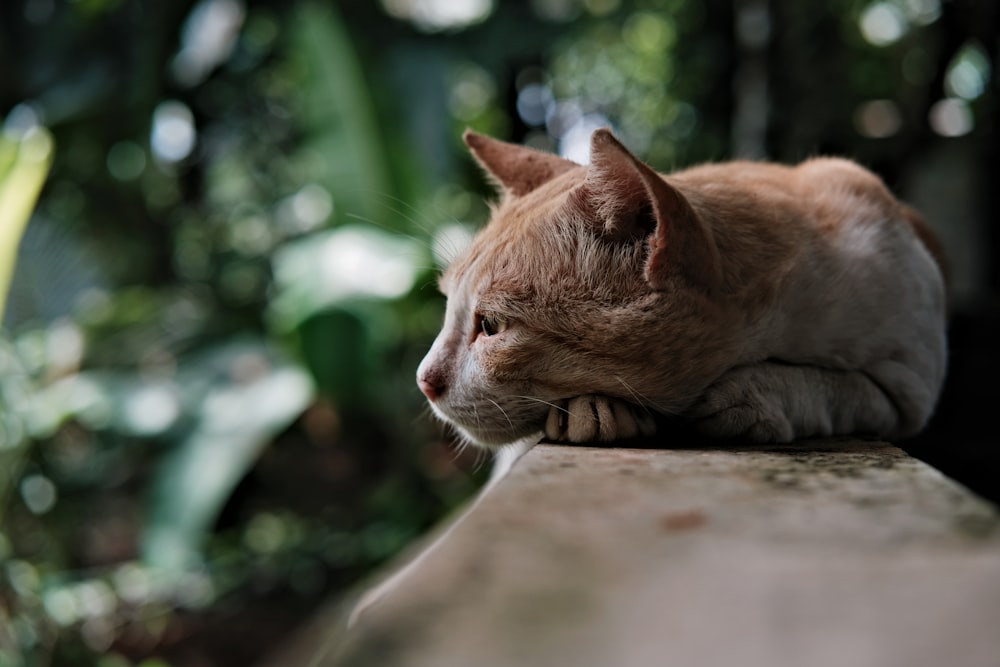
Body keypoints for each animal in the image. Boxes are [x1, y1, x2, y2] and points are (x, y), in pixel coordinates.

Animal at [418, 128, 948, 452]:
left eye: (492, 326)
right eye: (449, 309)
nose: (423, 381)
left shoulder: (908, 391)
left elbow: (835, 386)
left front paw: (752, 395)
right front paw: (599, 411)